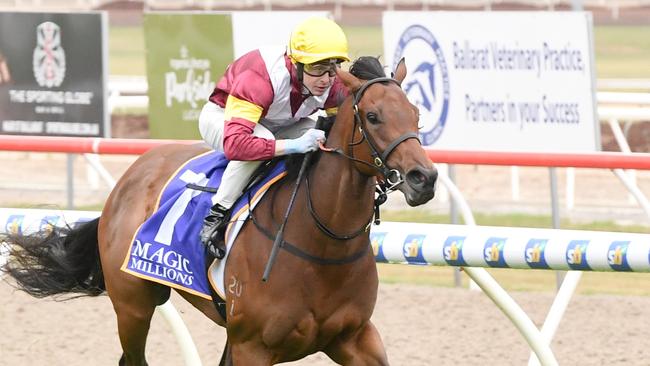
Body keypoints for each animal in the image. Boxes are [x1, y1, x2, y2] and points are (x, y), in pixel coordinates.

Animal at [2, 55, 436, 364]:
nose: (425, 178)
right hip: (133, 305)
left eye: (416, 114)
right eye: (374, 116)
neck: (322, 244)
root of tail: (128, 178)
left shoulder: (354, 338)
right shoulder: (252, 347)